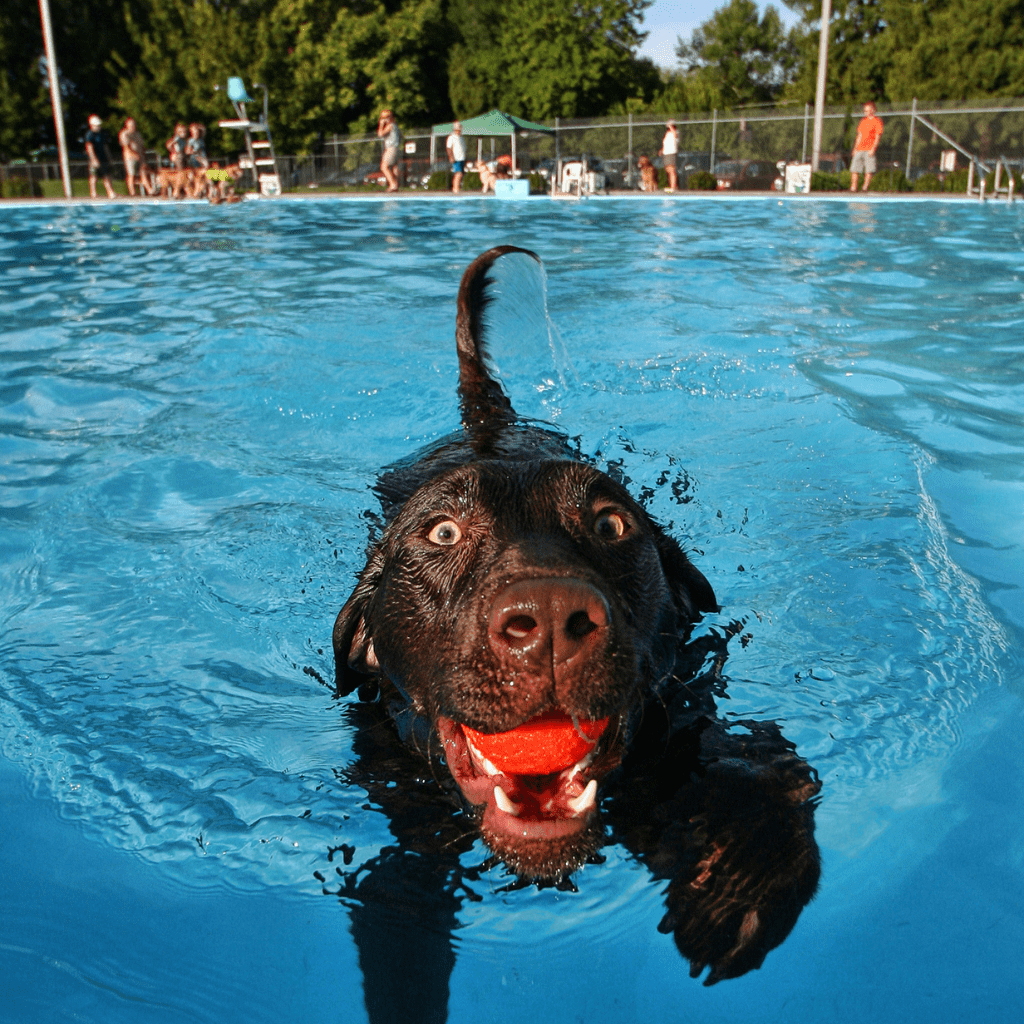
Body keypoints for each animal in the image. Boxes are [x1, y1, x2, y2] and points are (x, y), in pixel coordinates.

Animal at [331, 249, 819, 1007]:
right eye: (442, 532)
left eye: (611, 523)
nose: (552, 621)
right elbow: (400, 916)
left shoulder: (687, 713)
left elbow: (756, 774)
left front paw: (733, 889)